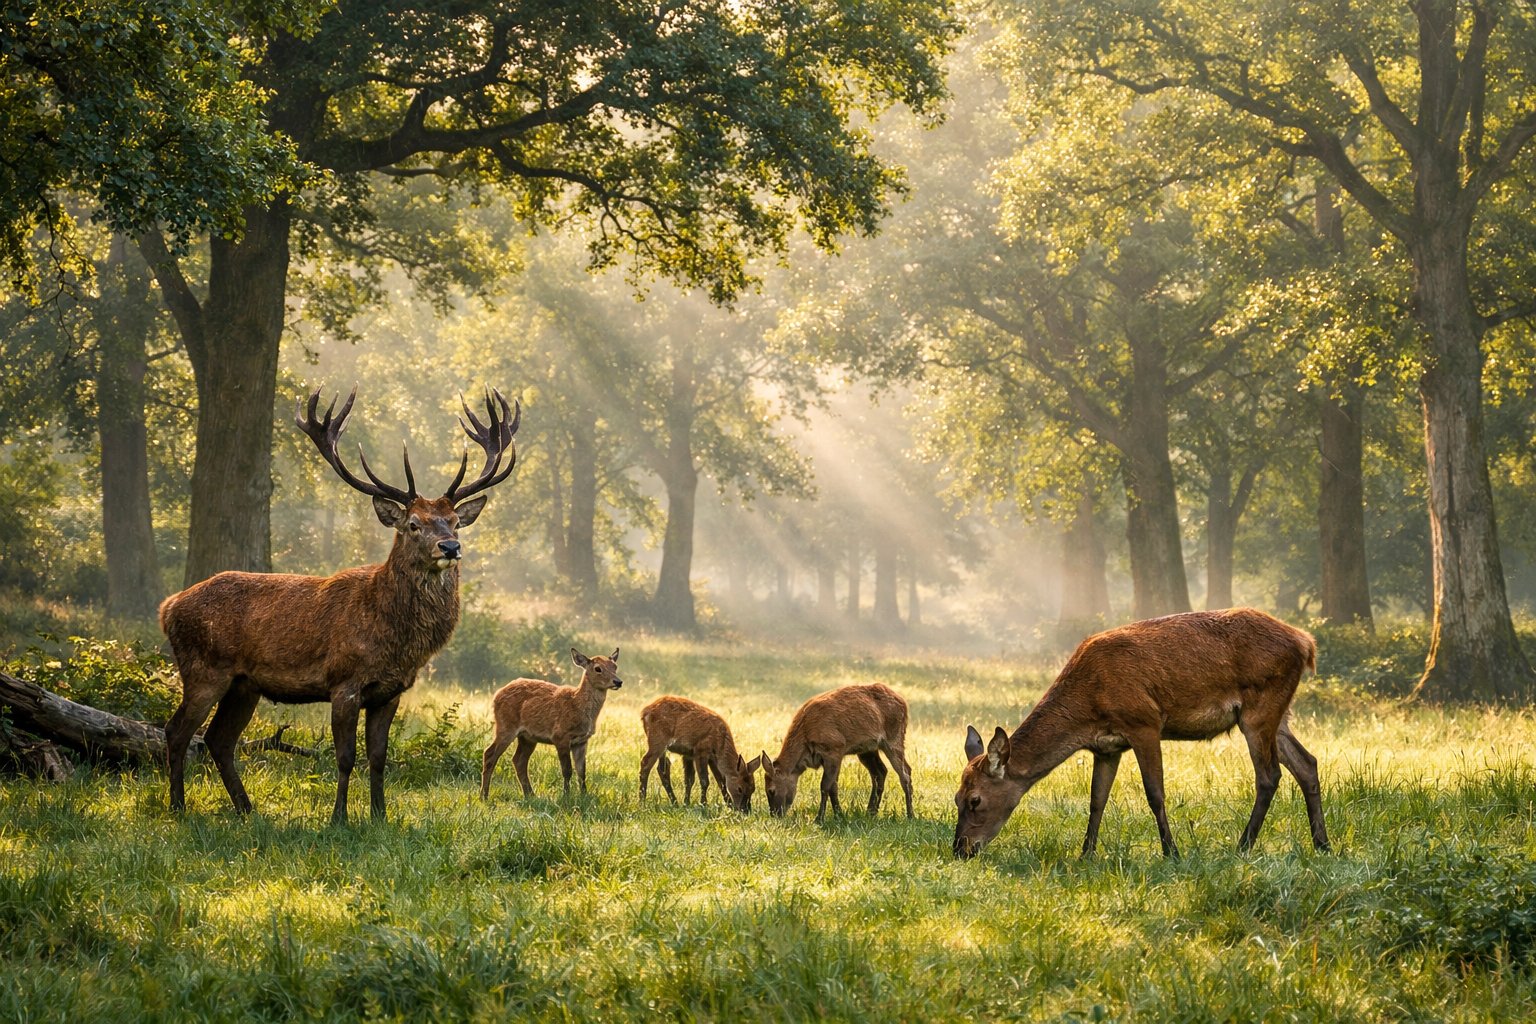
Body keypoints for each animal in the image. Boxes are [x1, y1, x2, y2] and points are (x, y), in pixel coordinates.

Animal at [159, 386, 520, 825]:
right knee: (178, 731)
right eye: (413, 524)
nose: (450, 547)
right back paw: (178, 807)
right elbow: (345, 757)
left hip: (244, 684)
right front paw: (339, 819)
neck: (393, 637)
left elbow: (379, 757)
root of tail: (168, 606)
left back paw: (247, 809)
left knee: (219, 739)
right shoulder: (343, 683)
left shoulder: (391, 691)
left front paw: (380, 816)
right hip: (203, 669)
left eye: (453, 521)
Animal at [480, 648, 623, 799]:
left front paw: (584, 795)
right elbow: (567, 770)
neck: (578, 706)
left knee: (519, 760)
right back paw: (484, 796)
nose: (618, 681)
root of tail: (496, 695)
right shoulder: (560, 736)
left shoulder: (582, 741)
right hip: (506, 726)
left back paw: (530, 795)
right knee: (489, 754)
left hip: (527, 737)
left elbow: (582, 771)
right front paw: (566, 796)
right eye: (598, 668)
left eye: (615, 666)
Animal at [760, 683, 914, 822]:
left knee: (905, 772)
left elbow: (825, 786)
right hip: (867, 749)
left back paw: (910, 815)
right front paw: (839, 815)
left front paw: (819, 819)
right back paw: (871, 811)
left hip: (894, 738)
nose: (775, 814)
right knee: (880, 772)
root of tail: (904, 703)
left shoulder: (834, 749)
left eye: (771, 790)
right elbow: (833, 787)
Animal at [952, 608, 1331, 860]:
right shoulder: (1106, 748)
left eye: (975, 800)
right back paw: (1323, 844)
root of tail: (1306, 643)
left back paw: (1242, 847)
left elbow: (1155, 794)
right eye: (956, 798)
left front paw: (1172, 853)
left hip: (1260, 706)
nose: (960, 849)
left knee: (1269, 775)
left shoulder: (1144, 722)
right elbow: (1096, 800)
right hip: (1279, 714)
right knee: (1307, 763)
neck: (1088, 707)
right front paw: (1085, 855)